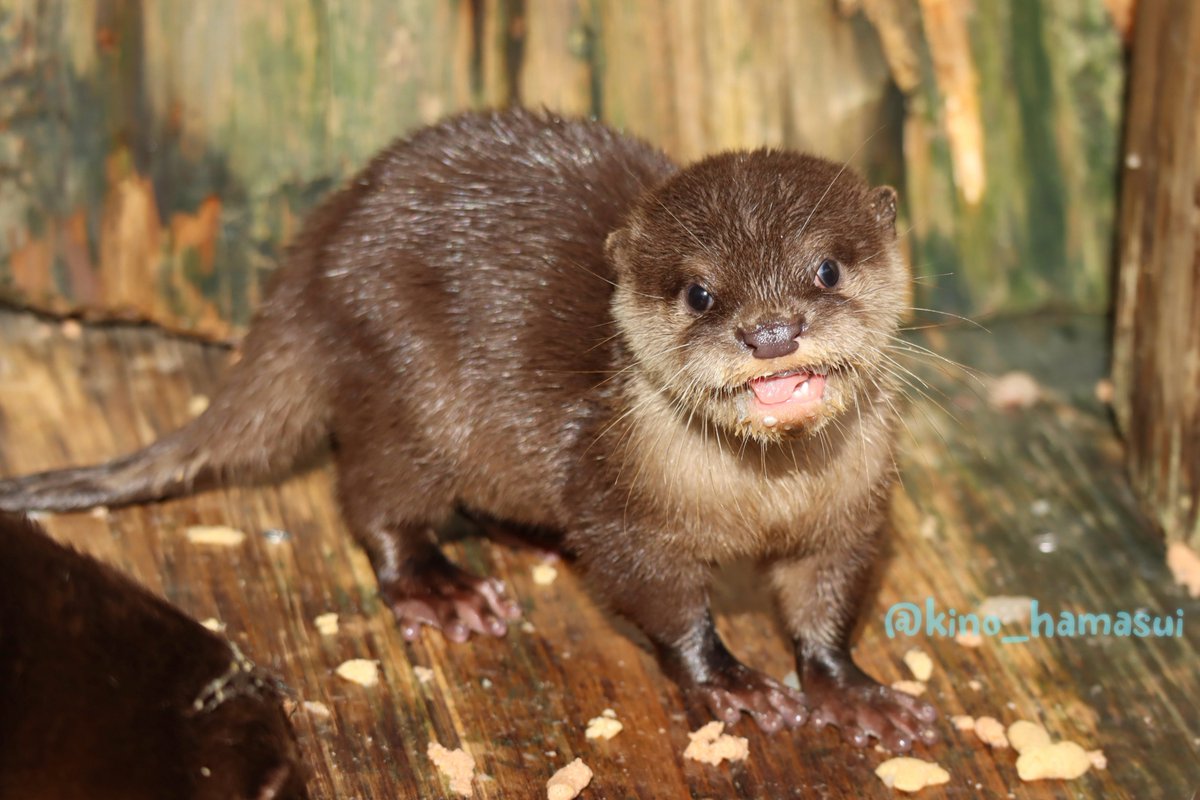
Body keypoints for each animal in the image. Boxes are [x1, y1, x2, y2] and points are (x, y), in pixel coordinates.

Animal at [0, 109, 936, 753]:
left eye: (827, 268)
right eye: (700, 293)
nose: (772, 332)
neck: (760, 502)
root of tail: (305, 272)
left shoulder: (851, 514)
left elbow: (826, 600)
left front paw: (851, 690)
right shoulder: (620, 505)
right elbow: (661, 598)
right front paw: (731, 683)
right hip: (399, 383)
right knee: (373, 498)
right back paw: (442, 589)